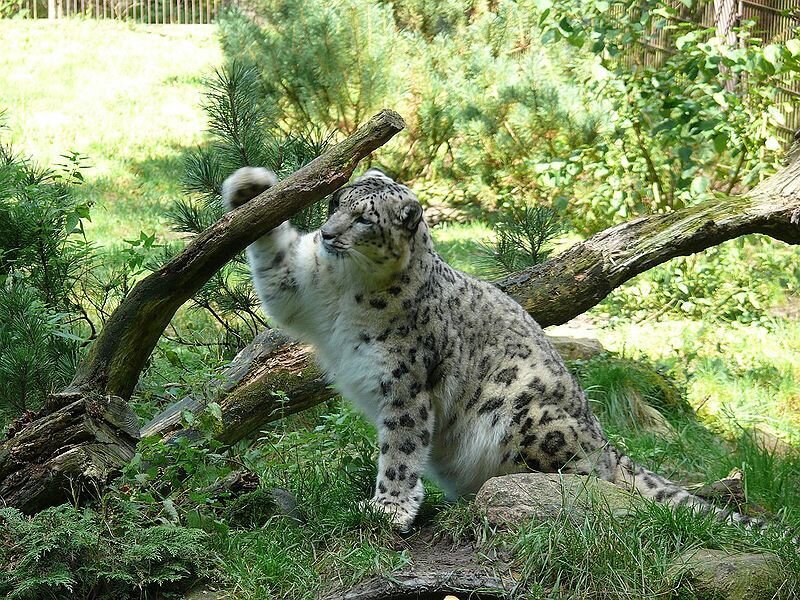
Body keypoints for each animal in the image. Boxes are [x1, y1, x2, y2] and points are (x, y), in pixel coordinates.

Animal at [221, 165, 766, 533]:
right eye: (336, 203)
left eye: (364, 220)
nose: (328, 234)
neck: (345, 287)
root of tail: (605, 439)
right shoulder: (301, 288)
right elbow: (275, 266)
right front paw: (250, 189)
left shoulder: (406, 383)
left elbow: (400, 446)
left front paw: (390, 507)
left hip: (530, 417)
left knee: (595, 479)